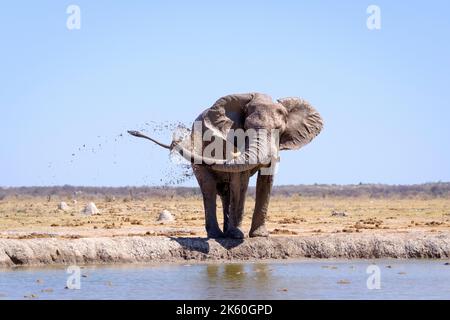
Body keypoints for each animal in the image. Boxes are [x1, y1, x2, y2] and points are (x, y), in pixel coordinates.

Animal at [128, 92, 322, 238]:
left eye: (279, 130)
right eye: (246, 127)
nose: (132, 131)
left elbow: (266, 180)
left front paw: (259, 236)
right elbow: (240, 180)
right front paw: (237, 236)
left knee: (225, 192)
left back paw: (225, 232)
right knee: (209, 187)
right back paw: (218, 235)